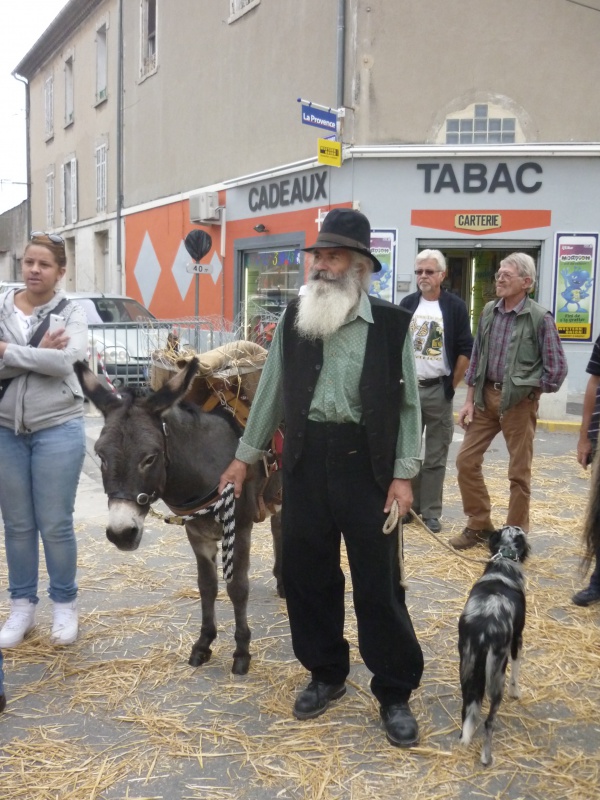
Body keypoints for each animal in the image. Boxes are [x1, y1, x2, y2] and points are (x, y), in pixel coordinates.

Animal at [460, 524, 528, 768]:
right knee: (489, 722)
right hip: (496, 677)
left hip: (468, 671)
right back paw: (486, 756)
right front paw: (516, 693)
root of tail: (483, 632)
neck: (503, 562)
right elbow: (516, 674)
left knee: (468, 711)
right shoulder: (518, 639)